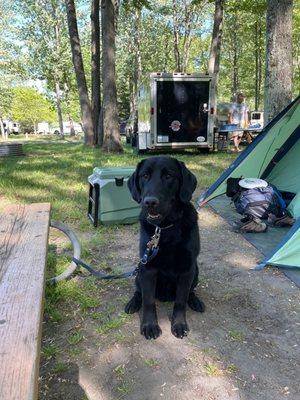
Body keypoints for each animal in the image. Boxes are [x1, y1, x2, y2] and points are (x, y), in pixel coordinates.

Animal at [123, 156, 204, 340]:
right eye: (145, 175)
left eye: (168, 176)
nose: (150, 202)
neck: (166, 228)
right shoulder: (147, 269)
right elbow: (148, 301)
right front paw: (149, 326)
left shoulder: (187, 269)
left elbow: (181, 301)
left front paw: (179, 324)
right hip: (139, 271)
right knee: (139, 292)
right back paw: (133, 303)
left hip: (196, 271)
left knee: (190, 292)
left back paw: (195, 301)